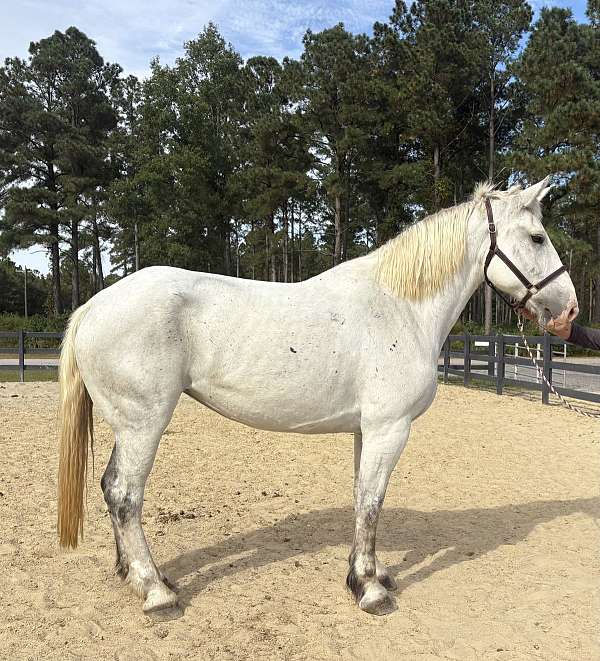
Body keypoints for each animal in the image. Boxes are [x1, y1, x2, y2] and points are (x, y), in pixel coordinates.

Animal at [57, 178, 578, 616]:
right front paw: (368, 589)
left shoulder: (367, 430)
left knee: (109, 487)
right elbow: (372, 501)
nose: (569, 311)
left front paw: (371, 573)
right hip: (143, 423)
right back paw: (155, 590)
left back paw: (134, 574)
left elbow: (362, 498)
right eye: (537, 237)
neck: (401, 308)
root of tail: (93, 306)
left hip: (127, 426)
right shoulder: (389, 428)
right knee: (125, 494)